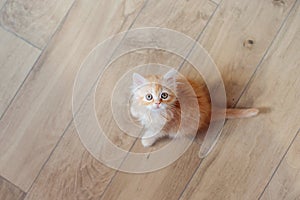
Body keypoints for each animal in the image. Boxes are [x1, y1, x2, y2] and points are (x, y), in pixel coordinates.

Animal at [129, 69, 258, 147]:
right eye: (149, 97)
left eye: (164, 95)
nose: (157, 103)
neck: (153, 113)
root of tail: (209, 110)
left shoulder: (166, 125)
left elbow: (154, 133)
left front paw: (146, 141)